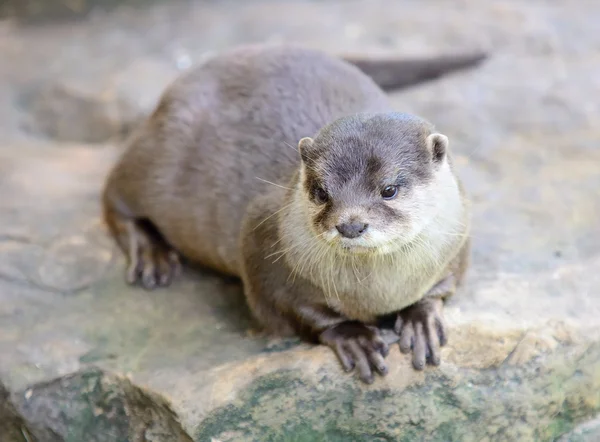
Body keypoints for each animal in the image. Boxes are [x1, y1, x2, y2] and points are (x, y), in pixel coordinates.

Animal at [103, 45, 478, 384]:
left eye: (389, 189)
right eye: (321, 191)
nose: (350, 225)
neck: (377, 293)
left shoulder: (457, 236)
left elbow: (442, 287)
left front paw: (421, 319)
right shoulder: (261, 242)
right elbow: (293, 312)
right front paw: (354, 336)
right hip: (157, 161)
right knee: (113, 195)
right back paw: (151, 252)